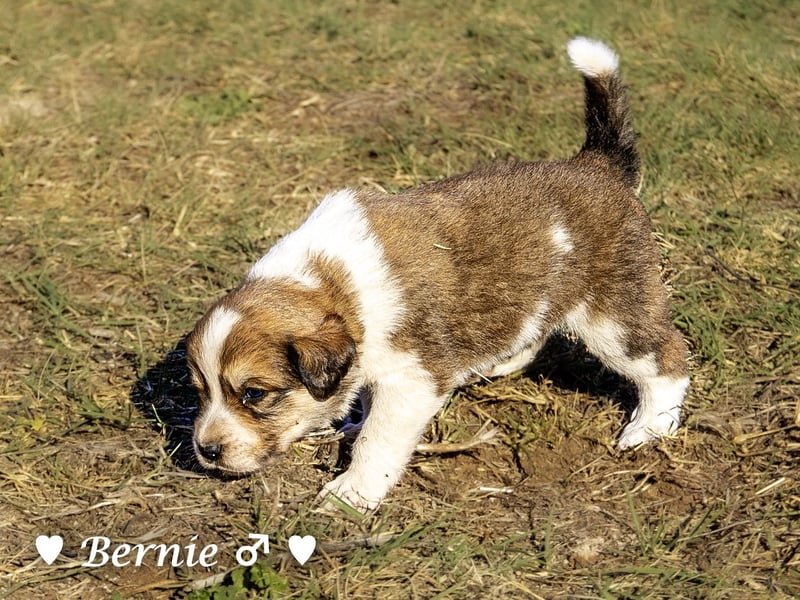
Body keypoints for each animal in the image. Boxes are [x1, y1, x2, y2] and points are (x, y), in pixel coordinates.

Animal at [183, 37, 688, 510]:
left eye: (253, 394)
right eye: (200, 390)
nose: (206, 450)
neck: (334, 284)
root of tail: (598, 164)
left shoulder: (412, 379)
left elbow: (379, 439)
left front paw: (352, 493)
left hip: (613, 314)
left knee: (666, 359)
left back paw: (649, 427)